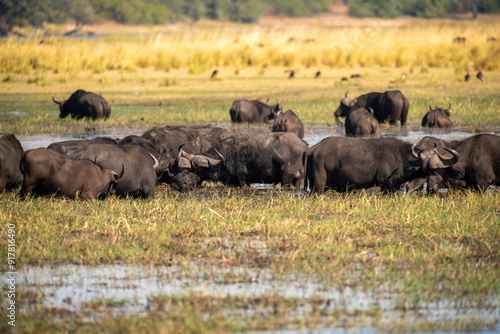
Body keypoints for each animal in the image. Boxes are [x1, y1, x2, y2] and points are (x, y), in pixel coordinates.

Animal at [171, 133, 308, 190]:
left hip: (286, 179)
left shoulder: (243, 181)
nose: (184, 185)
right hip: (298, 179)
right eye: (186, 170)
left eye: (194, 170)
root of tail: (302, 143)